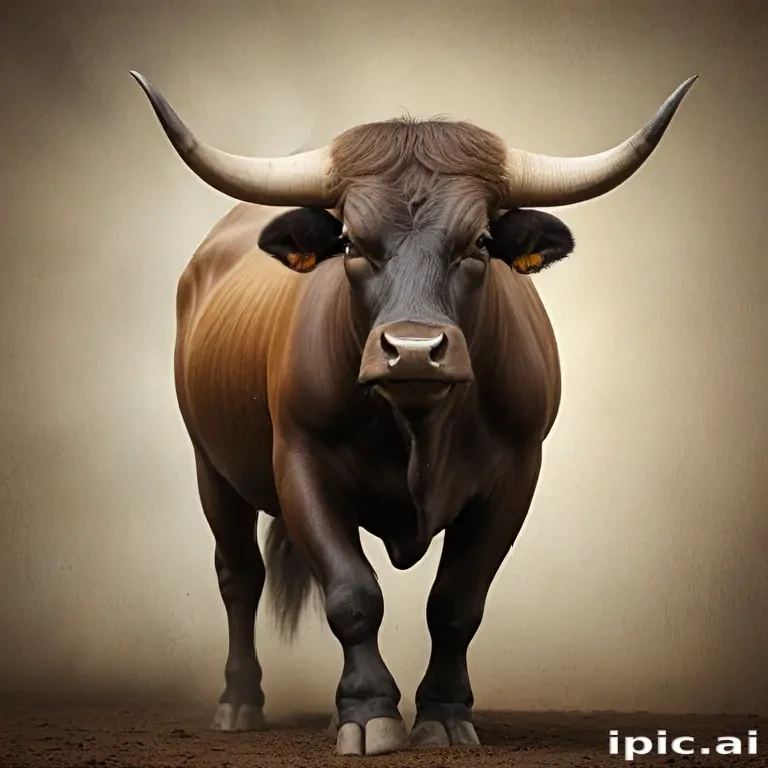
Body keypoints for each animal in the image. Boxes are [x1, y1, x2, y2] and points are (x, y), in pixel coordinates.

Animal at [130, 71, 697, 756]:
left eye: (478, 243)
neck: (420, 428)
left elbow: (456, 603)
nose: (414, 350)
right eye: (351, 242)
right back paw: (240, 702)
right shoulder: (301, 464)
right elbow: (352, 594)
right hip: (211, 468)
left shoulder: (514, 479)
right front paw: (369, 713)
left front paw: (444, 714)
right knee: (239, 575)